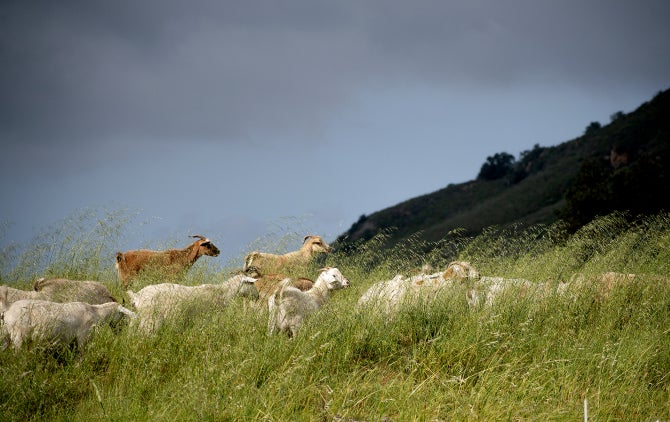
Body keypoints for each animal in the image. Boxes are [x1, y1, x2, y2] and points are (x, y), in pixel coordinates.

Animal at [0, 286, 136, 351]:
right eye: (122, 315)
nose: (121, 329)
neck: (95, 312)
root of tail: (8, 308)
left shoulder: (72, 341)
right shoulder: (82, 338)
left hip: (6, 336)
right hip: (18, 337)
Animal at [126, 275, 256, 333]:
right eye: (251, 283)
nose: (257, 296)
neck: (223, 292)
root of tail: (136, 295)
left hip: (138, 317)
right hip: (149, 318)